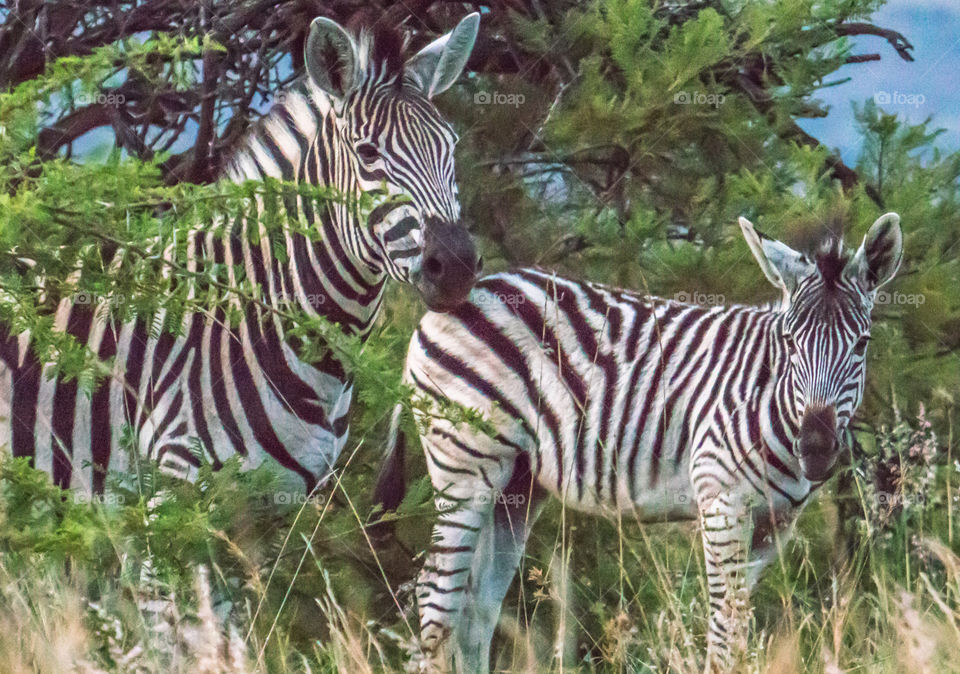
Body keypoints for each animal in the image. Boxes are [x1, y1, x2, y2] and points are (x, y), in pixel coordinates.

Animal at [376, 213, 908, 668]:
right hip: (463, 464)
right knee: (435, 606)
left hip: (517, 485)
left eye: (862, 344)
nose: (815, 448)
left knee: (476, 613)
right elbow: (722, 633)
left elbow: (738, 630)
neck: (766, 394)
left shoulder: (772, 526)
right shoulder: (721, 503)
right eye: (791, 342)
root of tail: (454, 299)